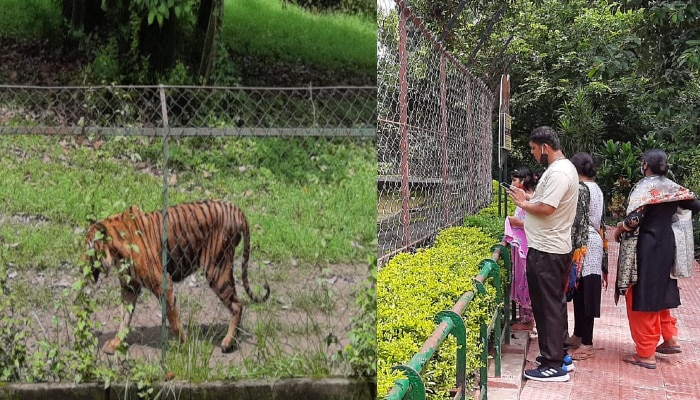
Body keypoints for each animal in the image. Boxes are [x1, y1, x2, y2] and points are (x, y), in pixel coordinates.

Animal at [82, 200, 268, 354]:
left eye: (89, 250)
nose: (80, 267)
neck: (116, 253)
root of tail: (235, 209)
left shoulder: (162, 284)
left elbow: (174, 319)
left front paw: (185, 346)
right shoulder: (129, 287)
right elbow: (124, 319)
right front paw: (115, 344)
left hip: (217, 269)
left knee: (237, 305)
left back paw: (227, 342)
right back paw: (233, 341)